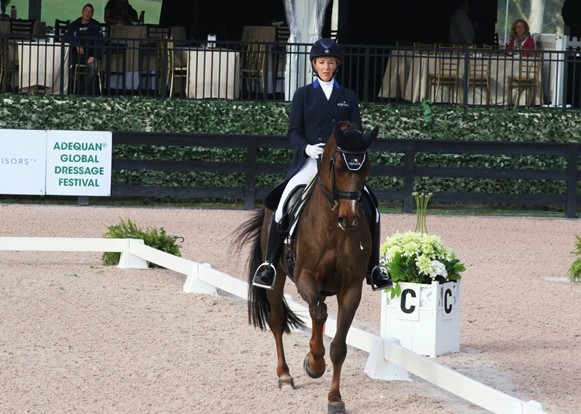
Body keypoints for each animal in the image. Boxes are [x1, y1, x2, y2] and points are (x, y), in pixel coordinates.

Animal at [231, 121, 379, 414]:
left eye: (366, 167)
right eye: (338, 166)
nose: (349, 218)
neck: (334, 226)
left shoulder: (352, 288)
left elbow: (338, 345)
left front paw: (335, 398)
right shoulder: (304, 277)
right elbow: (319, 314)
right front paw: (314, 363)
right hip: (277, 278)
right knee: (279, 321)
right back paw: (285, 375)